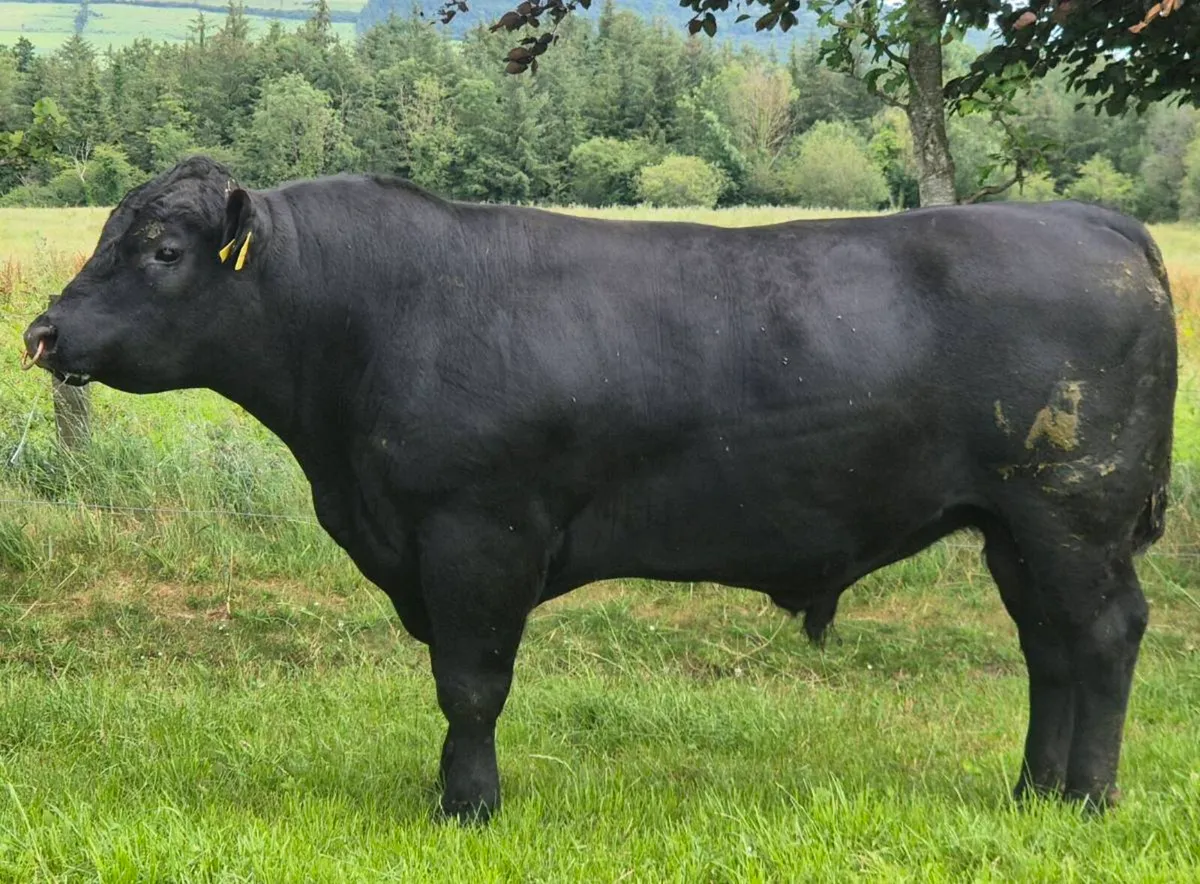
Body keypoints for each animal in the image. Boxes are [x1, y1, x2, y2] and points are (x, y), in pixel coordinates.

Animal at [22, 156, 1176, 823]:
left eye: (162, 249)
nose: (44, 330)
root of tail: (1095, 221)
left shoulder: (477, 533)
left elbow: (470, 683)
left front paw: (466, 807)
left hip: (1072, 511)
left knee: (1102, 637)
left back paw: (1088, 800)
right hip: (1015, 526)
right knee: (1049, 648)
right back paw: (1033, 791)